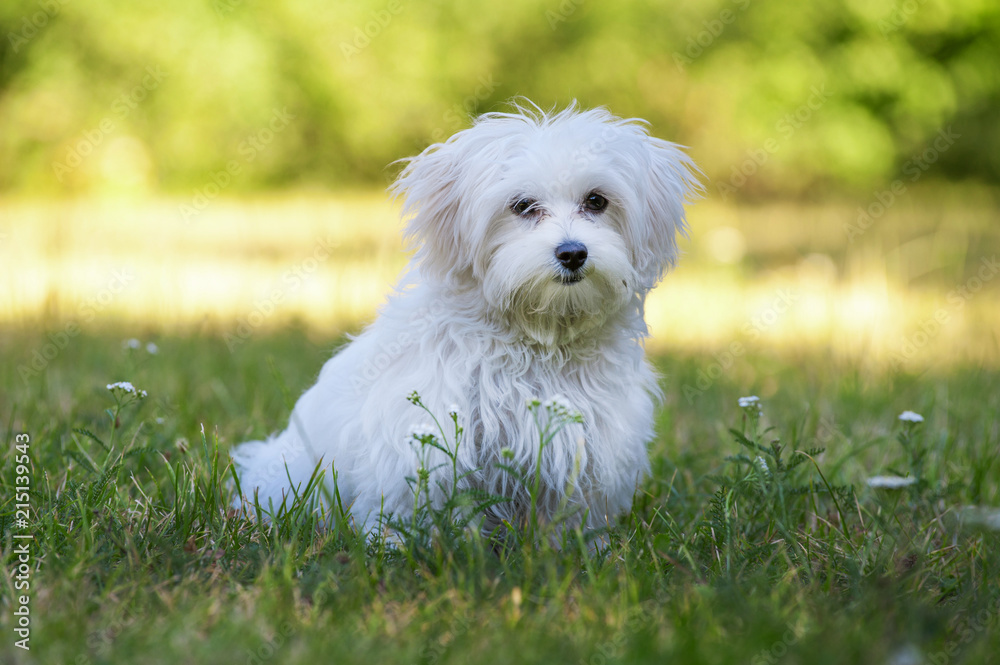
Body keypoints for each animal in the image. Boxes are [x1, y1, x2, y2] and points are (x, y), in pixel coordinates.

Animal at [232, 102, 704, 540]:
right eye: (522, 206)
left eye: (596, 201)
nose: (572, 252)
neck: (538, 339)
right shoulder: (422, 442)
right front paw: (401, 547)